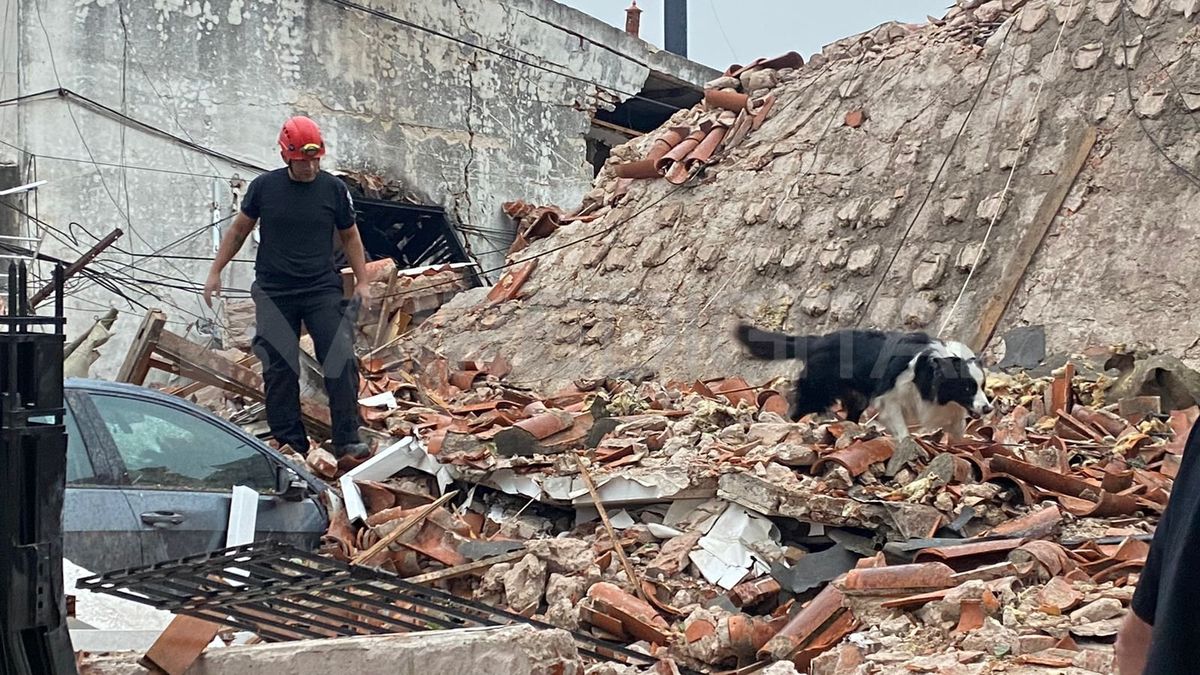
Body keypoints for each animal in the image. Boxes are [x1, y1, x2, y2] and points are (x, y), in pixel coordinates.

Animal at [734, 321, 988, 441]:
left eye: (983, 386)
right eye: (967, 387)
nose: (988, 409)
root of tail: (818, 341)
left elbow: (958, 429)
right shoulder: (890, 399)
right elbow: (903, 430)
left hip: (856, 399)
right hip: (818, 391)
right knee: (797, 409)